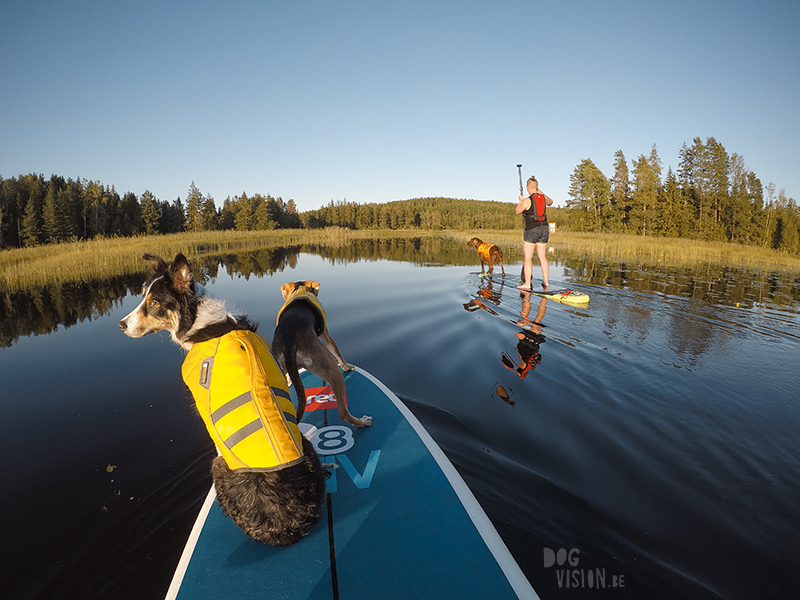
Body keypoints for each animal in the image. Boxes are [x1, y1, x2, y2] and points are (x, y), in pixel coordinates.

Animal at [116, 251, 328, 548]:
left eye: (154, 303)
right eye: (143, 296)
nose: (121, 325)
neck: (202, 325)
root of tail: (288, 529)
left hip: (216, 467)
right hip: (308, 449)